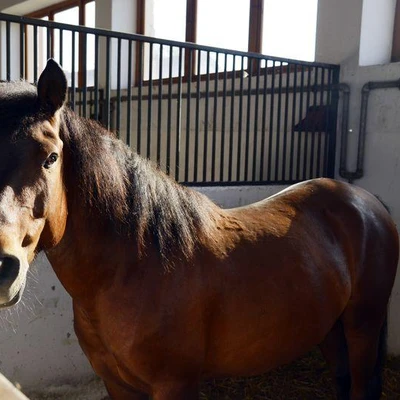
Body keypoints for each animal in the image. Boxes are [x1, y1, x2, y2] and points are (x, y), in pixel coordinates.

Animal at [0, 60, 398, 400]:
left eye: (51, 157)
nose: (3, 267)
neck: (133, 266)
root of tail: (367, 201)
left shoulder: (176, 384)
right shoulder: (118, 385)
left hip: (363, 324)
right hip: (329, 327)